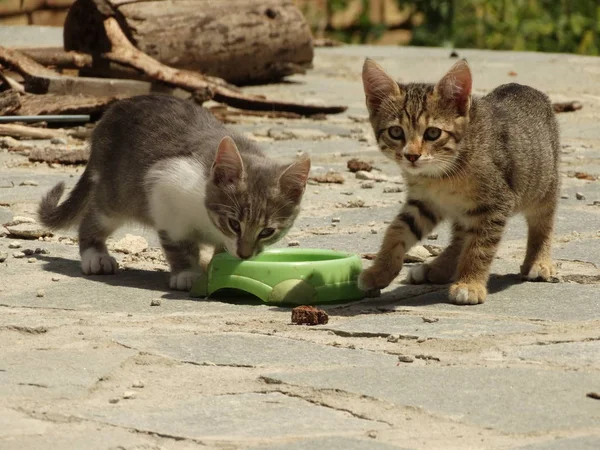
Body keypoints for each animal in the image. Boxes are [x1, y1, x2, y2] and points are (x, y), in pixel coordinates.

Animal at [38, 96, 312, 292]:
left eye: (267, 231)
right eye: (234, 223)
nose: (245, 254)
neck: (208, 221)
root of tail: (109, 114)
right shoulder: (166, 187)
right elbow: (179, 242)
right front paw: (187, 273)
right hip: (118, 193)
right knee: (94, 217)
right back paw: (95, 257)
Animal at [360, 58, 564, 304]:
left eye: (433, 133)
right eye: (396, 132)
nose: (411, 156)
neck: (441, 174)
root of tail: (521, 86)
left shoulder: (495, 203)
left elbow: (479, 247)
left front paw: (470, 284)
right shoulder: (425, 202)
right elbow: (397, 231)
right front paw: (379, 271)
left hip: (543, 185)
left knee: (543, 221)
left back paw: (538, 261)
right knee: (461, 236)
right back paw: (437, 268)